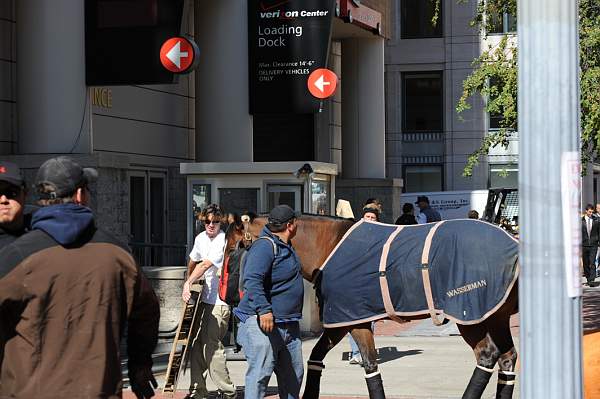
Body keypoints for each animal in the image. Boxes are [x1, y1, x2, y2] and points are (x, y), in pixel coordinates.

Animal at [227, 214, 516, 398]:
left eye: (234, 247)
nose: (230, 291)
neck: (330, 244)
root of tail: (514, 247)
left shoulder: (353, 320)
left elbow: (369, 365)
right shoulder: (340, 321)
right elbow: (316, 358)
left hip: (471, 316)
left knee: (487, 355)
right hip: (496, 316)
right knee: (507, 358)